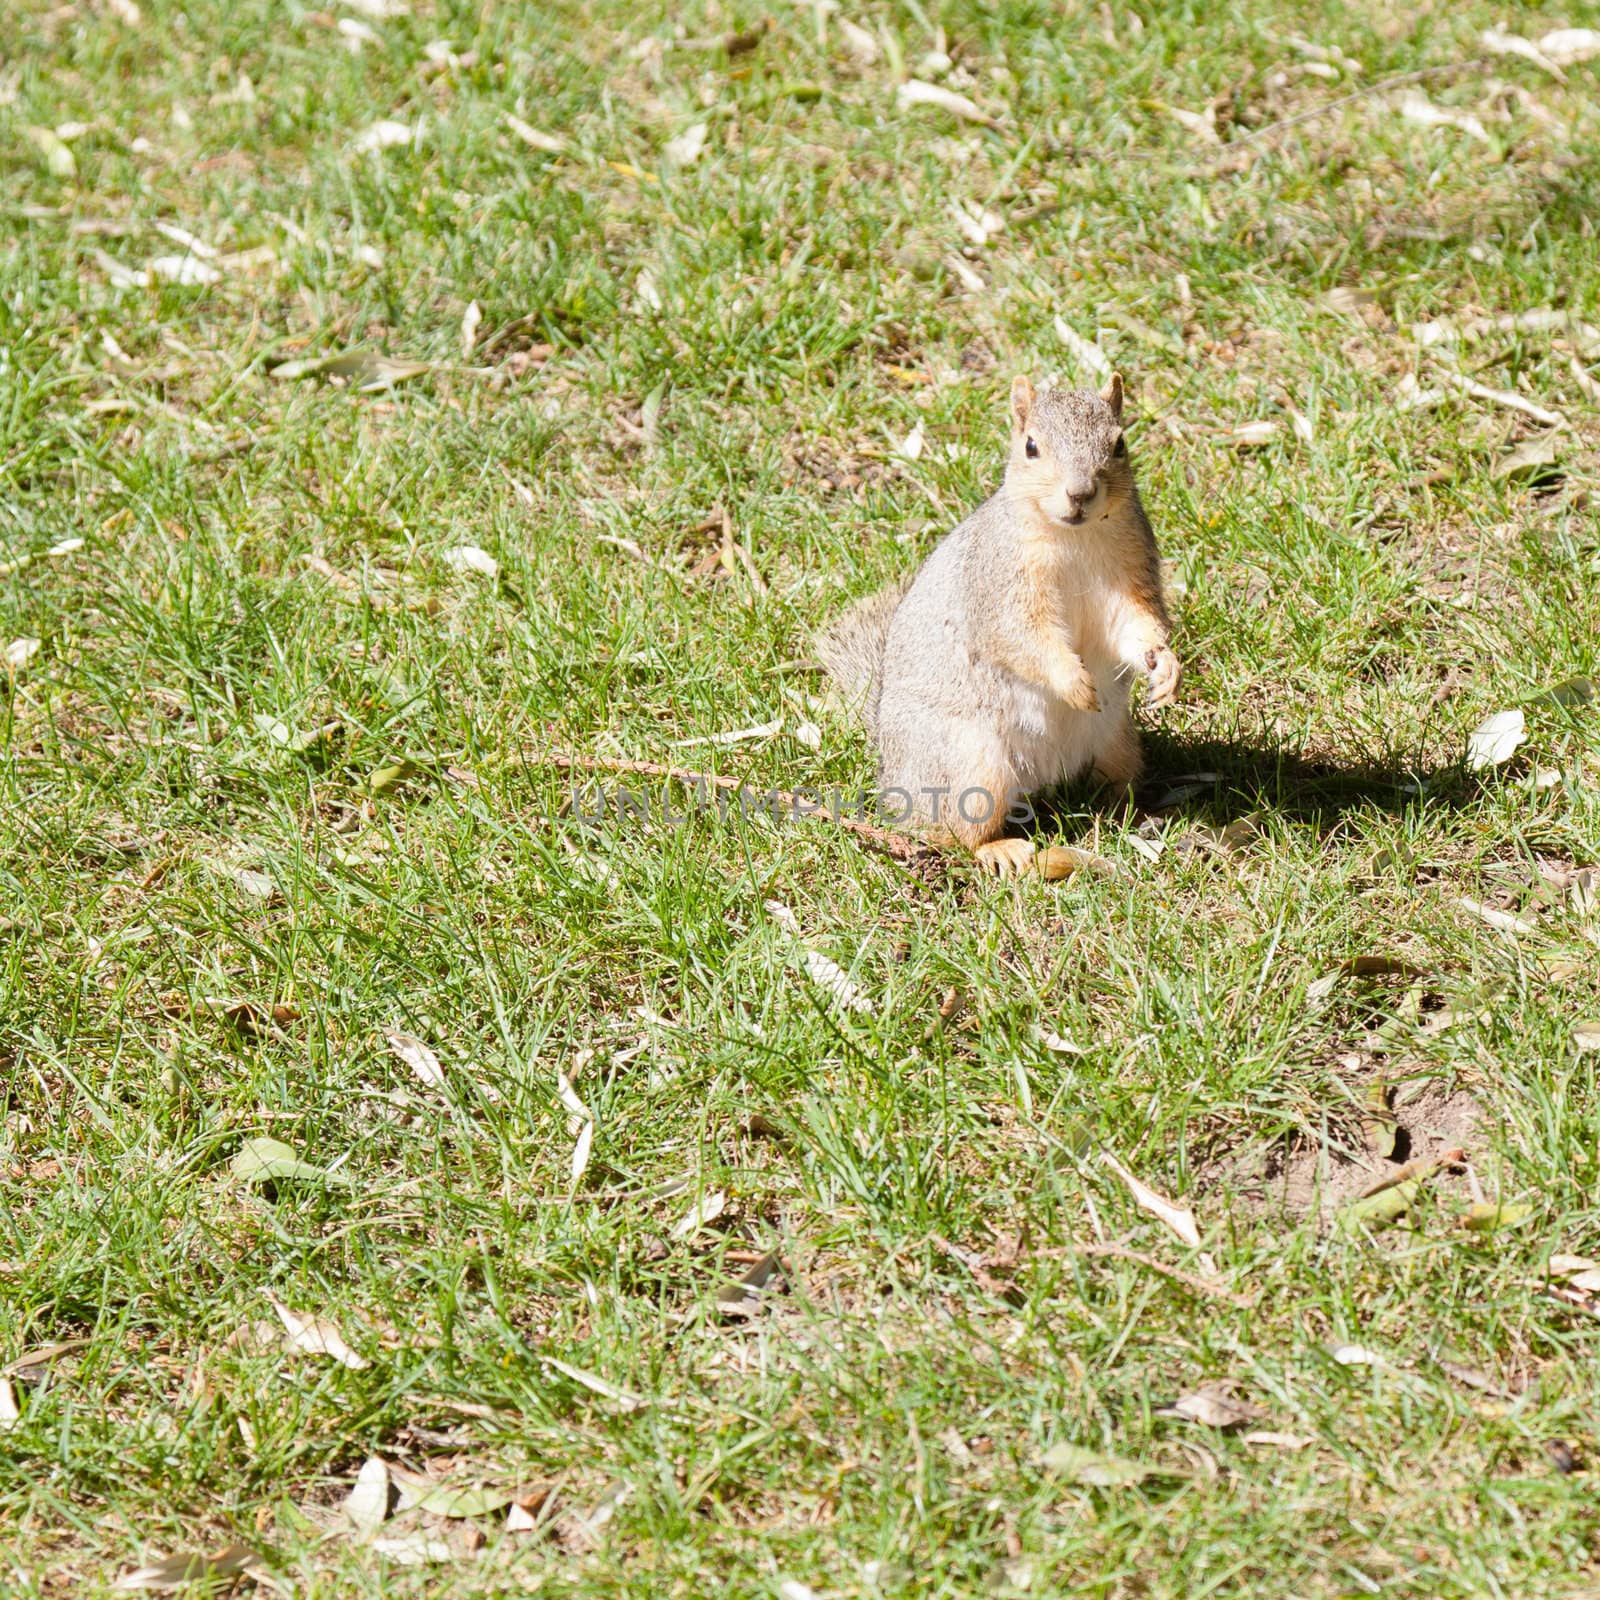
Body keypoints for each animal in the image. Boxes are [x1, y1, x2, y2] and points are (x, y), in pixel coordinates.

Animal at [819, 371, 1184, 876]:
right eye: (1030, 446)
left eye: (1120, 444)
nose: (1080, 494)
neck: (1074, 538)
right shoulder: (1000, 585)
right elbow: (1023, 638)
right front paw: (1074, 684)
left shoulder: (1129, 573)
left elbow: (1135, 625)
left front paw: (1165, 666)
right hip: (972, 766)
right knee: (952, 834)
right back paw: (1001, 849)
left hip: (1119, 745)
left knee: (1112, 782)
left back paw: (1127, 811)